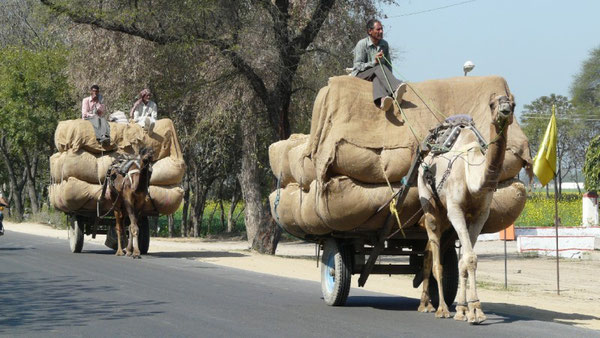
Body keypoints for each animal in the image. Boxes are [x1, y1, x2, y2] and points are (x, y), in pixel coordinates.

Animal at [418, 93, 516, 324]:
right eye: (492, 104)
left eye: (513, 104)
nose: (505, 109)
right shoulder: (455, 210)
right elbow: (469, 258)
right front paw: (474, 312)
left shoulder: (480, 214)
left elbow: (465, 259)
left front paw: (466, 309)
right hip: (428, 202)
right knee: (435, 259)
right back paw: (441, 308)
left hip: (445, 216)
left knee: (429, 253)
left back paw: (425, 305)